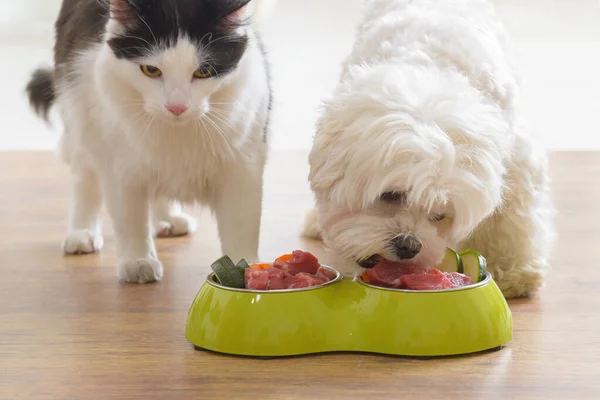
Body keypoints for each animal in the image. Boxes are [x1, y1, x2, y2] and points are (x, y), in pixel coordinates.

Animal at [26, 0, 274, 282]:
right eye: (151, 70)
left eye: (203, 71)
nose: (176, 107)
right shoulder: (119, 164)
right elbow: (131, 219)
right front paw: (138, 261)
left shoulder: (244, 165)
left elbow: (241, 226)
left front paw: (248, 272)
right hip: (81, 116)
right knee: (84, 178)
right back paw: (82, 232)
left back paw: (169, 218)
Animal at [302, 0, 556, 296]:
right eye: (391, 195)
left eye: (441, 215)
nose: (409, 246)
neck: (431, 69)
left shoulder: (516, 156)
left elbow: (510, 217)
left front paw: (514, 272)